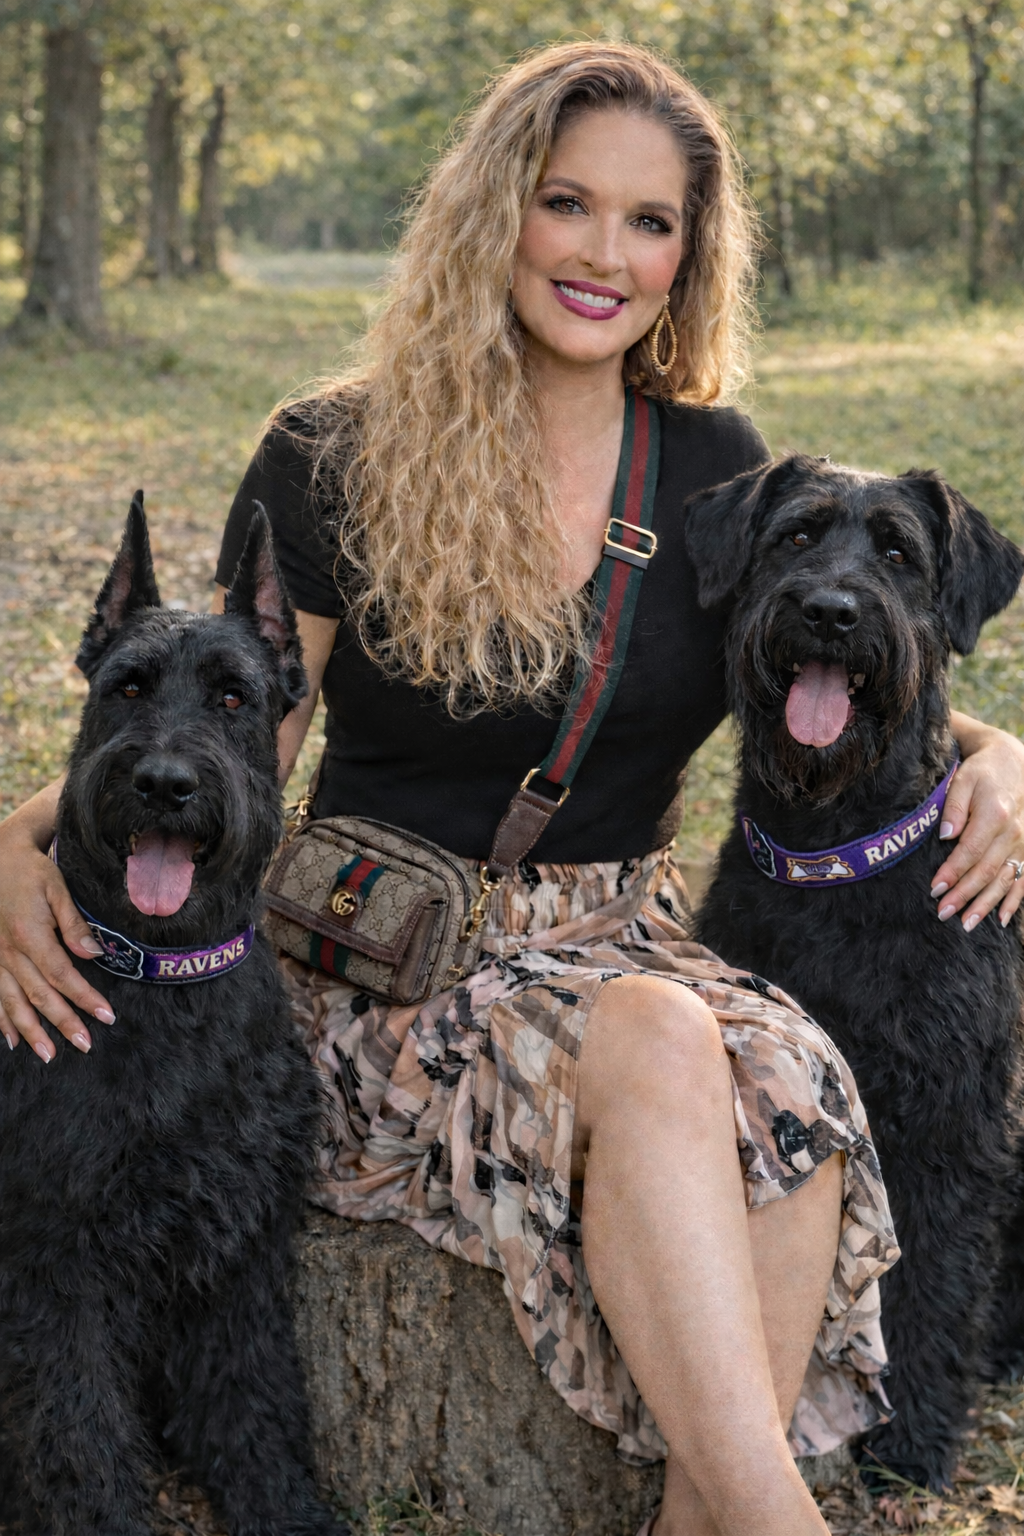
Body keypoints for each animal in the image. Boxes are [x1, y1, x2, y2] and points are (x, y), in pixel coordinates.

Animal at [0, 497, 343, 1536]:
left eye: (233, 698)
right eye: (128, 686)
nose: (163, 782)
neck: (165, 978)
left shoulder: (240, 1243)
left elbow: (253, 1399)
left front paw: (285, 1509)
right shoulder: (58, 1256)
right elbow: (78, 1432)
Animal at [685, 455, 1024, 1492]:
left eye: (898, 552)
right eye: (797, 534)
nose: (831, 611)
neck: (834, 848)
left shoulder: (952, 1125)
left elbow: (931, 1287)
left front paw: (911, 1438)